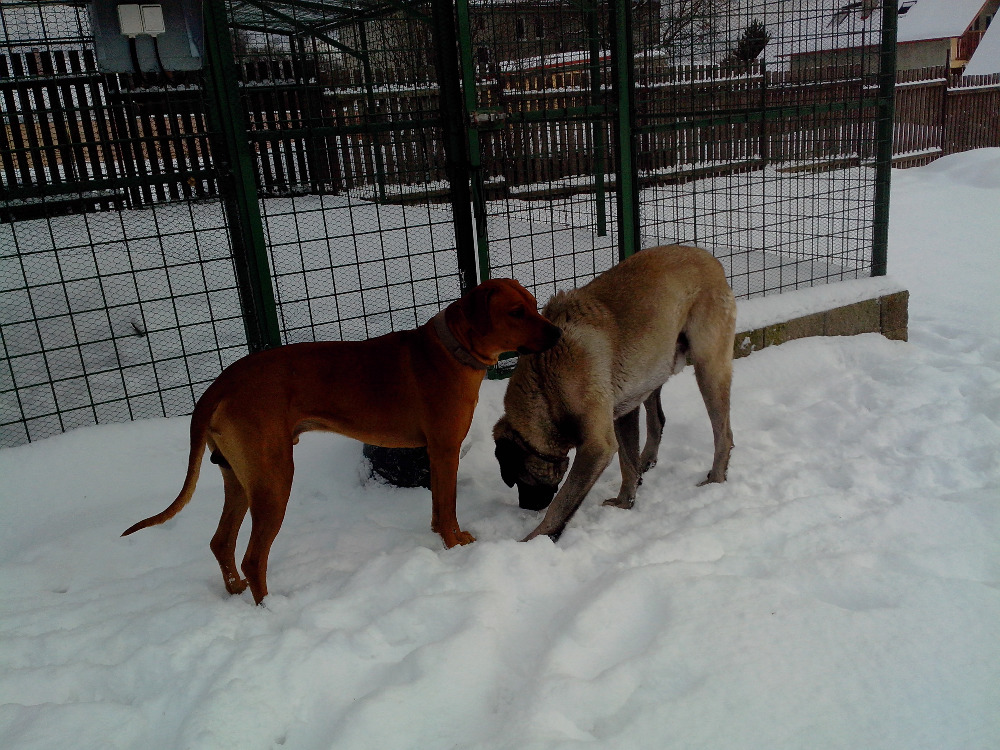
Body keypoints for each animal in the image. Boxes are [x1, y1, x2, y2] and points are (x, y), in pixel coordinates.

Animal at [123, 278, 561, 604]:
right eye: (516, 312)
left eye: (532, 303)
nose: (558, 331)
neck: (452, 350)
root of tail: (219, 385)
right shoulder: (443, 450)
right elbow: (448, 506)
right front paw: (455, 546)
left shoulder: (436, 452)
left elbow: (438, 509)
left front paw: (444, 539)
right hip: (274, 478)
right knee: (252, 557)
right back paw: (271, 610)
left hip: (241, 478)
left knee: (221, 543)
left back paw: (235, 592)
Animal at [493, 244, 736, 541]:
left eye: (517, 476)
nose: (526, 507)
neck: (544, 383)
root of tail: (710, 259)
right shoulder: (622, 413)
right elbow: (627, 463)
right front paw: (625, 502)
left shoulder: (597, 446)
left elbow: (563, 501)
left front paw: (537, 538)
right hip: (651, 370)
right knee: (657, 419)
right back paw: (647, 461)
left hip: (708, 369)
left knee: (723, 433)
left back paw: (716, 478)